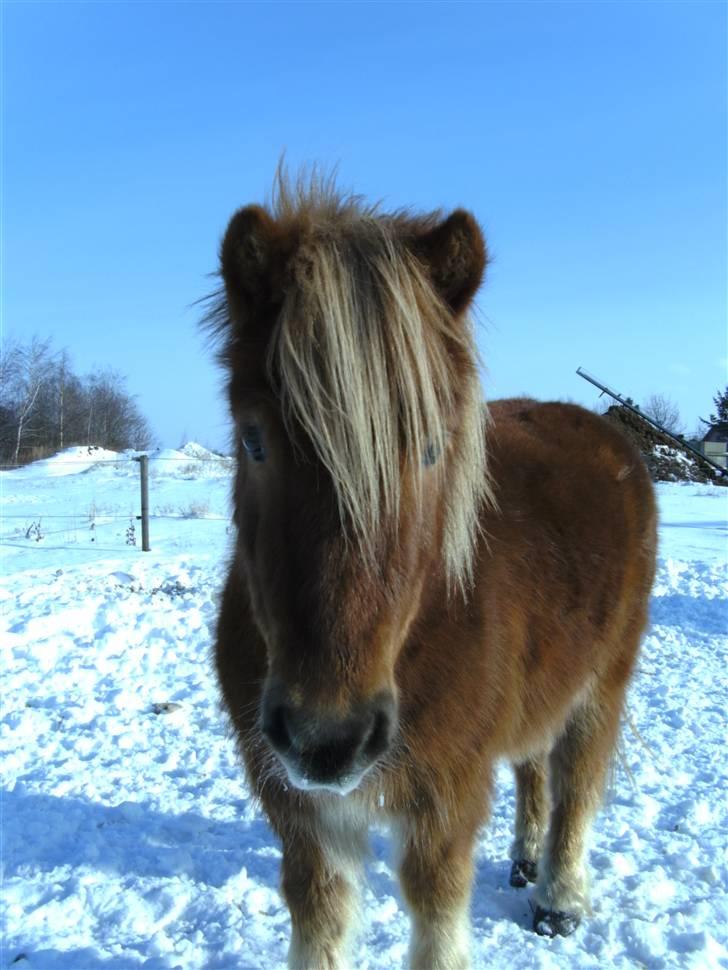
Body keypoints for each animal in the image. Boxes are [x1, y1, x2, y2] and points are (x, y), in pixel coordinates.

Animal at [203, 174, 656, 968]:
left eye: (431, 448)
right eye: (253, 440)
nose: (328, 738)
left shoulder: (446, 802)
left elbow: (439, 922)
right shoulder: (302, 814)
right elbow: (319, 922)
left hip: (604, 682)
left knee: (576, 781)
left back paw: (558, 898)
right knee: (533, 764)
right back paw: (524, 858)